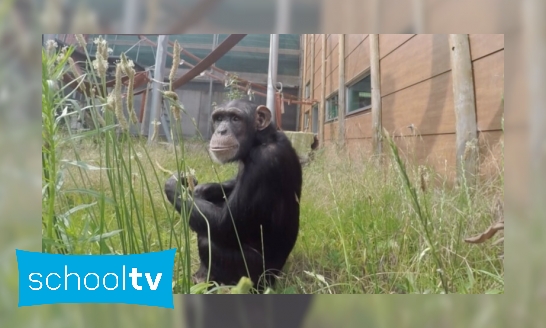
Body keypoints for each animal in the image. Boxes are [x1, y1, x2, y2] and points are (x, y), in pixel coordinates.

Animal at [164, 98, 304, 292]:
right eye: (219, 118)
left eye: (235, 119)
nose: (221, 130)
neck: (261, 141)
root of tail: (275, 278)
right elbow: (232, 184)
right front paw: (200, 189)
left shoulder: (264, 161)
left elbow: (226, 224)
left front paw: (175, 184)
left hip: (257, 277)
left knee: (207, 241)